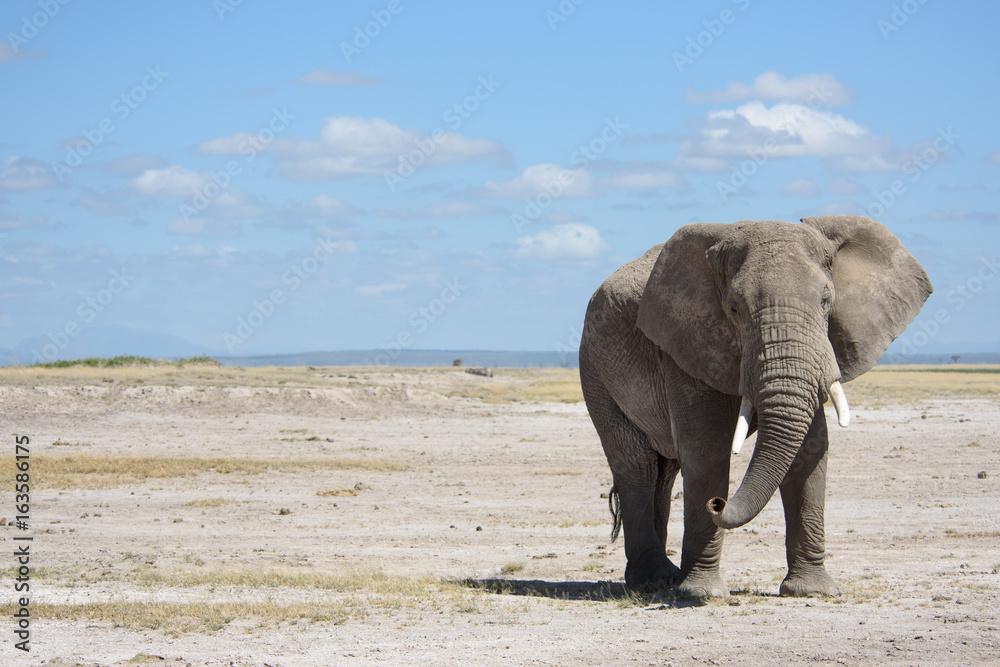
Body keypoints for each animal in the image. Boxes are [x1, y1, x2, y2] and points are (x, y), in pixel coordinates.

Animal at [579, 215, 932, 597]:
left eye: (826, 300)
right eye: (734, 308)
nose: (717, 504)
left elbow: (811, 449)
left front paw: (812, 591)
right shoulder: (684, 344)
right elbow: (707, 448)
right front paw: (701, 594)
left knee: (665, 471)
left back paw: (662, 580)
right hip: (595, 370)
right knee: (637, 465)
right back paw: (654, 579)